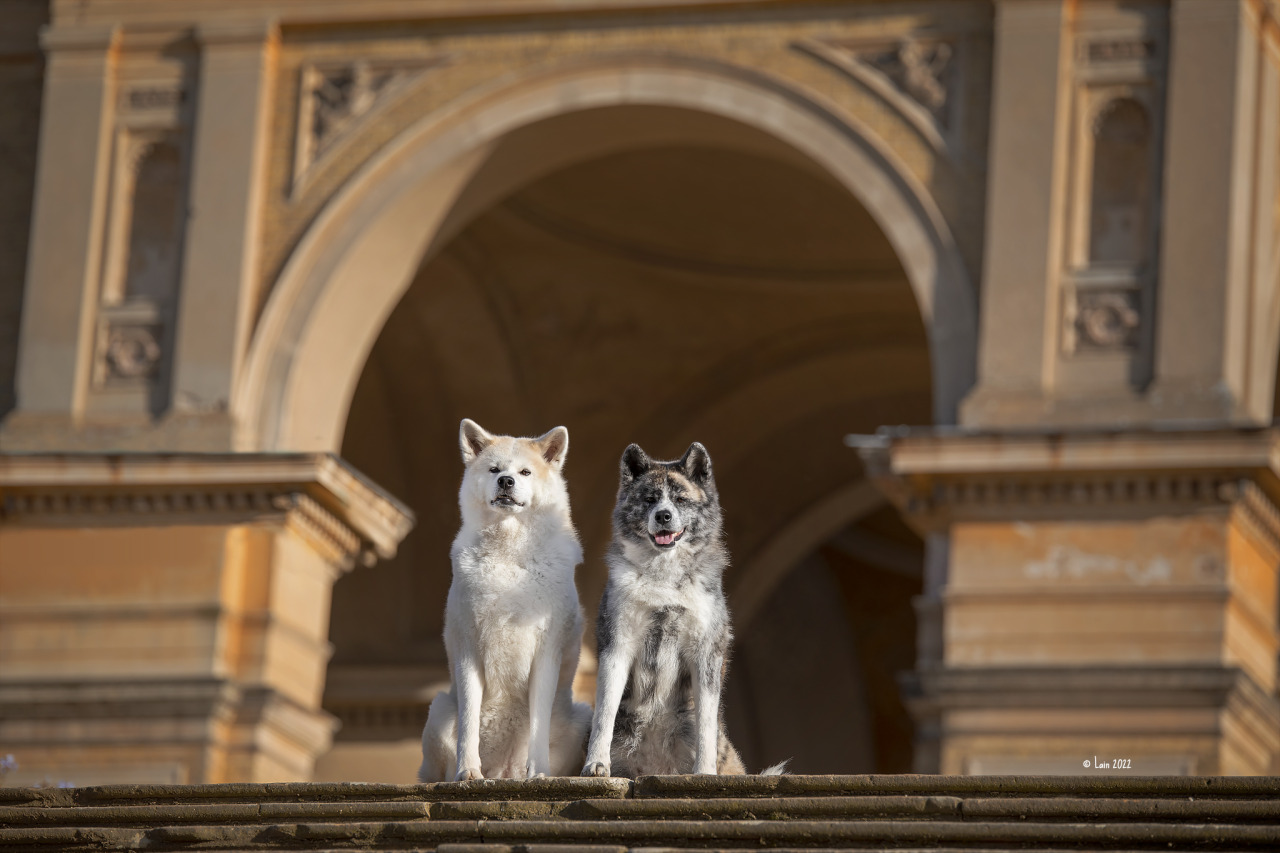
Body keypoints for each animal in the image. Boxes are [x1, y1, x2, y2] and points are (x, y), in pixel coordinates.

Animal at [422, 417, 596, 778]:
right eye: (494, 469)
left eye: (525, 472)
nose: (506, 480)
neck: (510, 555)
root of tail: (502, 771)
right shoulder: (468, 648)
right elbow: (469, 722)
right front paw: (467, 773)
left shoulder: (546, 652)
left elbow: (538, 722)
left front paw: (539, 774)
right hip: (439, 708)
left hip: (582, 715)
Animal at [586, 440, 783, 773]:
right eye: (650, 499)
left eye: (680, 499)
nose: (663, 516)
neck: (664, 576)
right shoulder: (617, 647)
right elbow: (604, 715)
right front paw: (596, 764)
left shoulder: (705, 655)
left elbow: (706, 724)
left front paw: (704, 772)